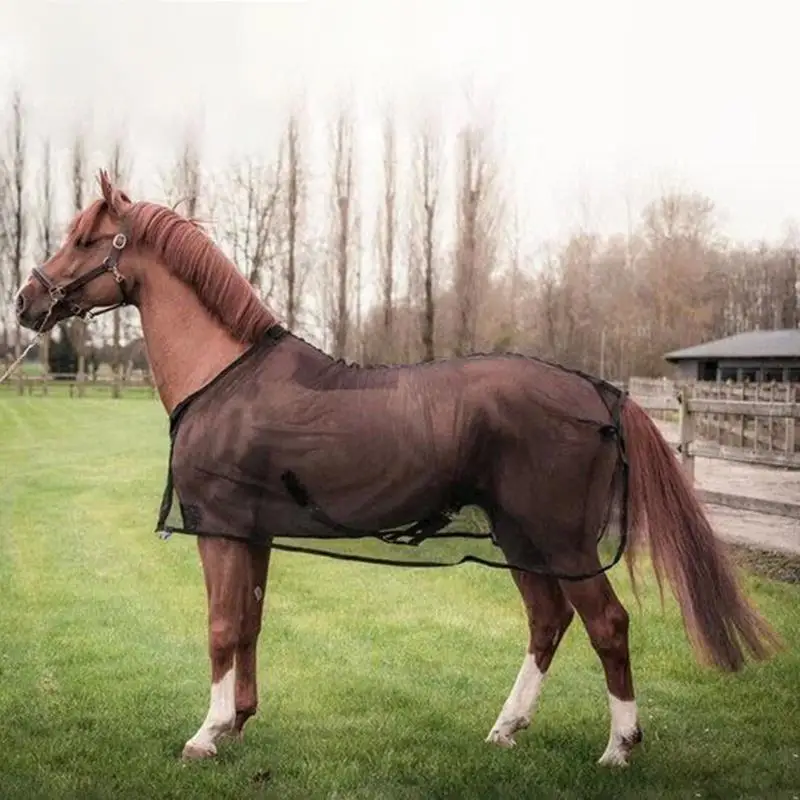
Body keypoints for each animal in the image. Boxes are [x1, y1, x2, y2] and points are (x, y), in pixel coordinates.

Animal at [15, 170, 780, 768]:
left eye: (85, 239)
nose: (27, 301)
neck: (224, 376)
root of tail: (598, 391)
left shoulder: (222, 531)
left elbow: (222, 627)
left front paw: (205, 734)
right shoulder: (253, 535)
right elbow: (251, 623)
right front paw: (237, 722)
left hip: (561, 540)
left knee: (608, 625)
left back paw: (619, 746)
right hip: (520, 537)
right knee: (548, 622)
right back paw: (506, 729)